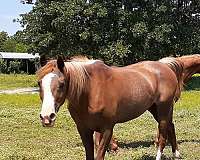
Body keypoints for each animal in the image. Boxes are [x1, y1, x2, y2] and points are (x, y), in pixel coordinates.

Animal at [37, 57, 183, 159]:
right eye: (39, 83)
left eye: (61, 84)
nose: (47, 117)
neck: (91, 91)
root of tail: (166, 67)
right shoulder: (84, 129)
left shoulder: (107, 129)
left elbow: (99, 155)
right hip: (155, 109)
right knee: (171, 126)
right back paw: (176, 154)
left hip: (163, 108)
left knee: (163, 134)